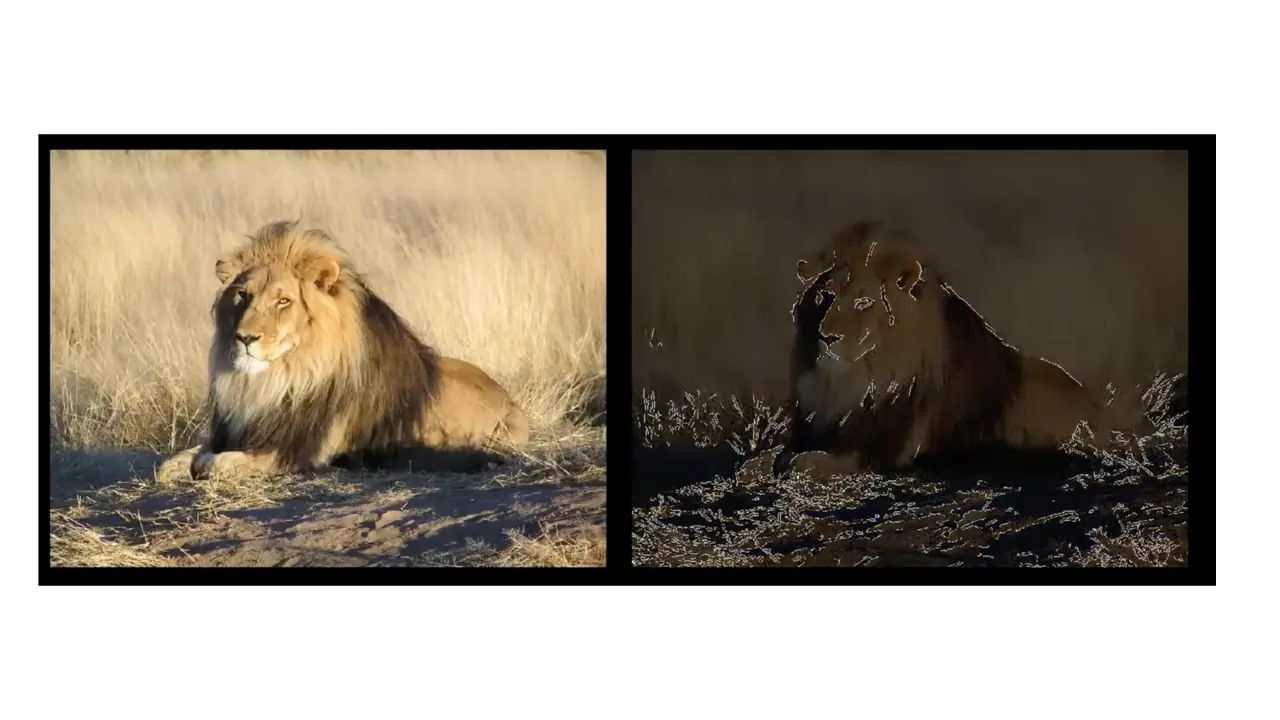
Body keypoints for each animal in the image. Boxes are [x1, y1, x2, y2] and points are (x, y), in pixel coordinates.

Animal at [162, 220, 529, 481]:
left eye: (283, 301)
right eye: (242, 295)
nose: (245, 337)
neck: (277, 379)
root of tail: (513, 404)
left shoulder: (297, 450)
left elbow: (218, 462)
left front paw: (205, 464)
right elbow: (177, 460)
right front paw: (176, 465)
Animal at [774, 220, 1150, 478]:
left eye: (864, 301)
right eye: (825, 297)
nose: (826, 337)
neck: (853, 379)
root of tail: (1103, 412)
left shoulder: (891, 449)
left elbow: (832, 458)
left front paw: (805, 462)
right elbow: (778, 454)